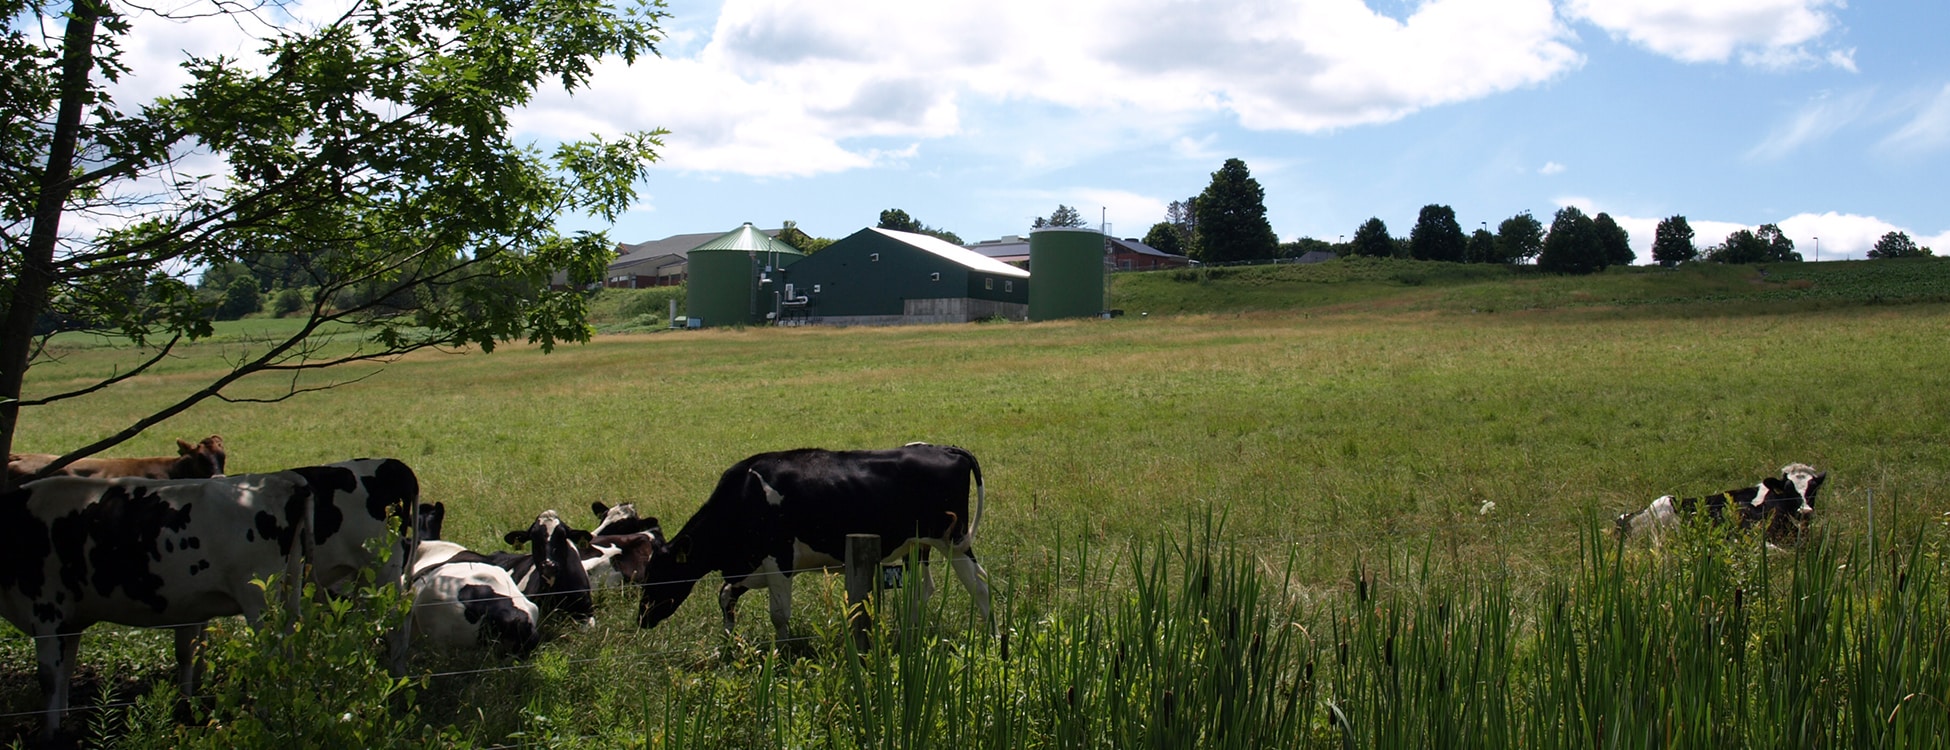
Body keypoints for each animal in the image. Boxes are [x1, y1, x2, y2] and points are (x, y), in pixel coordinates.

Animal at [639, 440, 998, 638]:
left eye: (660, 575)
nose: (642, 619)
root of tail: (946, 447)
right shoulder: (748, 565)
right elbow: (725, 596)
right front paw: (729, 643)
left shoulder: (779, 559)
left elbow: (778, 614)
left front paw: (783, 655)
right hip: (916, 545)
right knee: (922, 588)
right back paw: (909, 634)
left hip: (953, 540)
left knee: (980, 583)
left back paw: (992, 637)